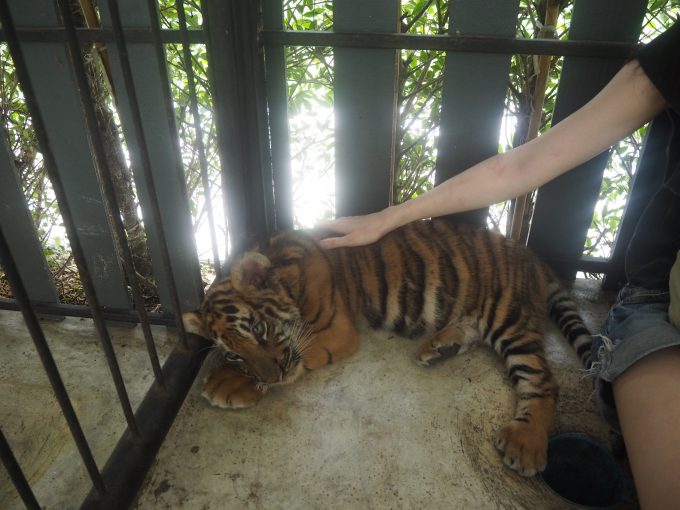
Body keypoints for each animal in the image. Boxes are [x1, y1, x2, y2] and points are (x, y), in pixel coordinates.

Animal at [182, 218, 593, 477]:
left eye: (258, 328)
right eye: (234, 351)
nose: (273, 376)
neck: (286, 277)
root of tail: (533, 258)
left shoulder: (335, 332)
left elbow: (296, 359)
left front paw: (226, 384)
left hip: (505, 313)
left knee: (542, 380)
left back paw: (525, 443)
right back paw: (439, 346)